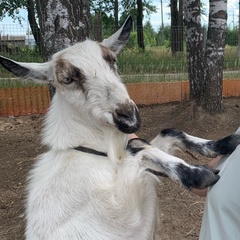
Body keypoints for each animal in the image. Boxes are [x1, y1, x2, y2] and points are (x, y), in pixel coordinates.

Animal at [0, 16, 238, 240]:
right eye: (67, 79)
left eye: (112, 61)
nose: (129, 117)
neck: (96, 154)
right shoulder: (122, 218)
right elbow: (138, 147)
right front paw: (198, 174)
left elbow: (167, 133)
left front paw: (225, 143)